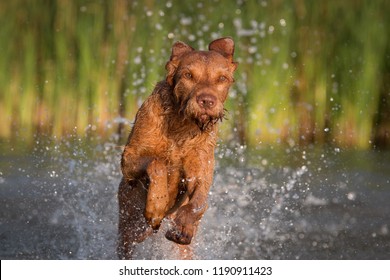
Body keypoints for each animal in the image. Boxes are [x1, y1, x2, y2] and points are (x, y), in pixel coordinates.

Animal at [116, 37, 238, 260]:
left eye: (222, 78)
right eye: (188, 75)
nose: (207, 101)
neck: (181, 127)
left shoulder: (200, 173)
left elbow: (199, 202)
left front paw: (184, 225)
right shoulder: (129, 159)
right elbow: (157, 163)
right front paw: (157, 205)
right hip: (129, 231)